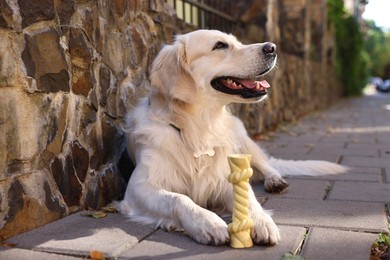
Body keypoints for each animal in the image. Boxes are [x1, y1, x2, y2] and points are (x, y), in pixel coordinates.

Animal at [116, 29, 348, 245]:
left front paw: (262, 221)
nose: (272, 47)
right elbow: (178, 199)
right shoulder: (139, 187)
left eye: (237, 41)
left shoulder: (224, 176)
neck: (197, 128)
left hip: (242, 140)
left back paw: (275, 180)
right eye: (220, 45)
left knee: (266, 166)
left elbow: (249, 198)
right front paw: (208, 223)